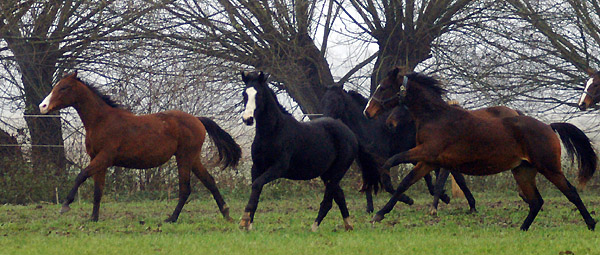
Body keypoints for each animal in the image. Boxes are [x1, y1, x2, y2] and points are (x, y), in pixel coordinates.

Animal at [35, 71, 239, 221]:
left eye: (64, 87)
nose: (42, 106)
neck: (101, 121)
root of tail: (197, 120)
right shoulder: (98, 159)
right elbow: (97, 190)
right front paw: (93, 218)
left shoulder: (104, 157)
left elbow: (81, 175)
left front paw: (65, 205)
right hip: (193, 158)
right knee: (209, 181)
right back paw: (226, 213)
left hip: (185, 157)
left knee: (185, 189)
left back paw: (171, 218)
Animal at [239, 71, 380, 231]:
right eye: (244, 94)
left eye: (259, 95)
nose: (248, 119)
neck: (273, 132)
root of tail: (351, 134)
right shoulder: (256, 167)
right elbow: (255, 189)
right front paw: (248, 224)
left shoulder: (278, 168)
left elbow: (257, 185)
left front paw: (244, 221)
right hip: (327, 173)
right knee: (339, 195)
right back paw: (348, 225)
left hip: (337, 171)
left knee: (329, 200)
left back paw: (314, 227)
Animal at [322, 84, 476, 214]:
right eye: (324, 101)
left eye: (335, 101)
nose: (326, 120)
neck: (369, 128)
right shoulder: (365, 164)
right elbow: (369, 185)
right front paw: (369, 209)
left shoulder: (383, 161)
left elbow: (389, 186)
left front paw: (408, 200)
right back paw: (463, 202)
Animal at [364, 66, 596, 230]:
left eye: (383, 88)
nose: (368, 111)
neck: (435, 117)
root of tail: (548, 126)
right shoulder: (429, 160)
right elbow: (406, 182)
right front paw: (381, 213)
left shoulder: (427, 152)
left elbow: (392, 161)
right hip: (523, 170)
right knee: (536, 201)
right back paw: (521, 229)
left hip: (549, 168)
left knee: (571, 193)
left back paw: (591, 224)